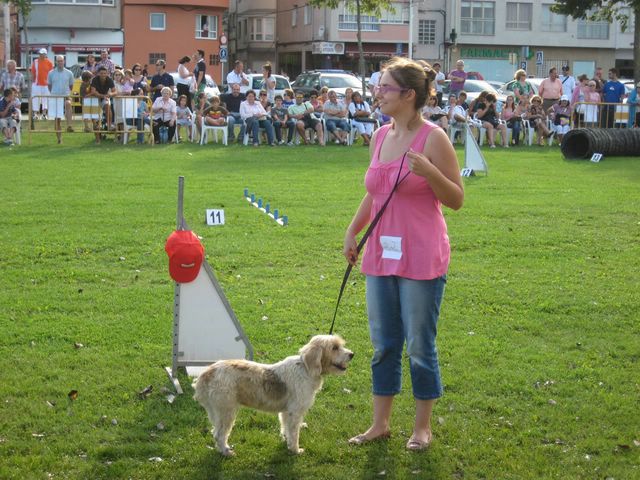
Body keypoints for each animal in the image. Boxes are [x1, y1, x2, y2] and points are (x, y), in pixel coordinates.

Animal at [195, 336, 356, 456]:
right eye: (334, 347)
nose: (352, 354)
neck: (306, 369)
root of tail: (206, 373)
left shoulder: (286, 412)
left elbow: (286, 429)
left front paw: (287, 442)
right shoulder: (295, 413)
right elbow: (294, 433)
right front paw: (296, 450)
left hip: (217, 413)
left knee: (215, 432)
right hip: (227, 412)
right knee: (219, 434)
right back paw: (226, 452)